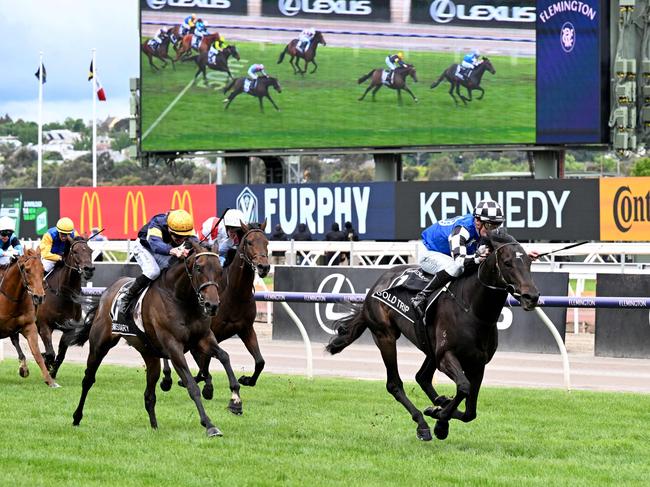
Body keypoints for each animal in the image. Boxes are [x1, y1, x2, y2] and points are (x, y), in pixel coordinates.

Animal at [0, 250, 56, 386]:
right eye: (27, 270)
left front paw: (50, 381)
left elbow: (37, 353)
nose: (39, 297)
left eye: (43, 270)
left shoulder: (29, 326)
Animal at [9, 236, 95, 382]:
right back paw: (23, 367)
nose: (89, 269)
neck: (63, 295)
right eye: (75, 251)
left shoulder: (69, 329)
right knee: (14, 338)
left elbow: (60, 355)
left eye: (90, 250)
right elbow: (50, 353)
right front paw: (46, 362)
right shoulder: (44, 325)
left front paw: (52, 373)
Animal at [65, 242, 240, 436]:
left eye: (219, 270)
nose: (212, 305)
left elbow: (224, 356)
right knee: (88, 379)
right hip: (99, 345)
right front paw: (209, 425)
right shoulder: (173, 347)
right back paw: (76, 417)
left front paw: (235, 399)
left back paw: (155, 427)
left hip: (150, 354)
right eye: (199, 267)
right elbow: (192, 386)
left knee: (149, 394)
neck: (180, 298)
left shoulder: (203, 338)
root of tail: (106, 292)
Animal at [163, 223, 272, 402]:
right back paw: (167, 377)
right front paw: (204, 384)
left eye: (267, 242)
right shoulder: (208, 331)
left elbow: (260, 361)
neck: (235, 293)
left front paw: (246, 379)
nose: (264, 267)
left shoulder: (246, 329)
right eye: (249, 242)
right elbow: (204, 361)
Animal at [324, 230, 536, 442]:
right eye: (507, 262)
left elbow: (470, 411)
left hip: (430, 348)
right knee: (394, 384)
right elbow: (463, 387)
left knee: (422, 377)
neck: (473, 311)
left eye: (529, 262)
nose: (531, 297)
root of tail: (375, 287)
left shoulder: (478, 363)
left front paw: (440, 413)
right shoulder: (446, 355)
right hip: (385, 336)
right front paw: (440, 420)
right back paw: (423, 424)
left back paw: (438, 403)